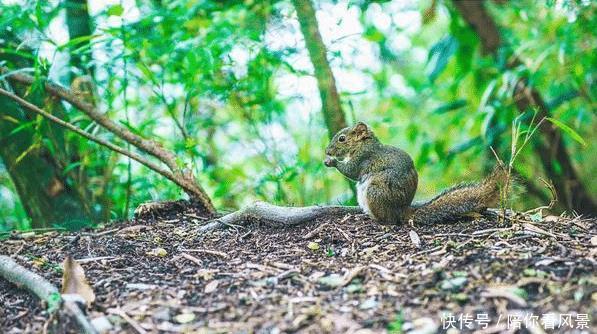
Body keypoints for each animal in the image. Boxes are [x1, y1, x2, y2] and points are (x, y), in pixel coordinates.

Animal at [324, 121, 506, 226]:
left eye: (341, 139)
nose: (327, 151)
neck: (363, 144)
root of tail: (403, 210)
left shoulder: (363, 158)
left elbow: (351, 171)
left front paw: (331, 162)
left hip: (376, 191)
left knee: (390, 220)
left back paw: (376, 219)